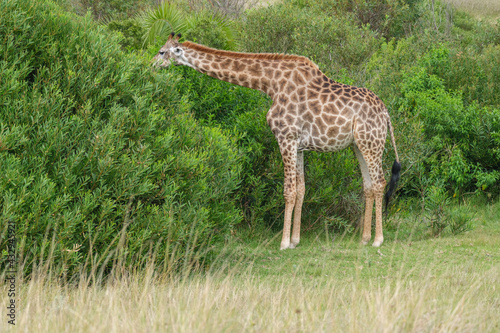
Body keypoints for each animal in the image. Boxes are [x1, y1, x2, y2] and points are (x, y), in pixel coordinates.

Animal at [153, 33, 402, 249]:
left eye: (162, 51)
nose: (151, 64)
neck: (270, 84)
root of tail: (386, 114)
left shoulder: (286, 138)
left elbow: (288, 190)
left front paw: (283, 243)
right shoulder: (299, 145)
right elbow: (301, 189)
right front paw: (295, 240)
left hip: (371, 142)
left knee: (379, 182)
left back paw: (378, 239)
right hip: (358, 146)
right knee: (368, 185)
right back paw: (365, 238)